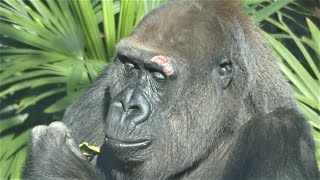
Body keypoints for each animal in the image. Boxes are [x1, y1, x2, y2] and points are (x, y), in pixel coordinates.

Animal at [22, 0, 318, 179]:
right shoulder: (100, 93)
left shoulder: (280, 136)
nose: (128, 106)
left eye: (157, 76)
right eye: (130, 66)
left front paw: (56, 163)